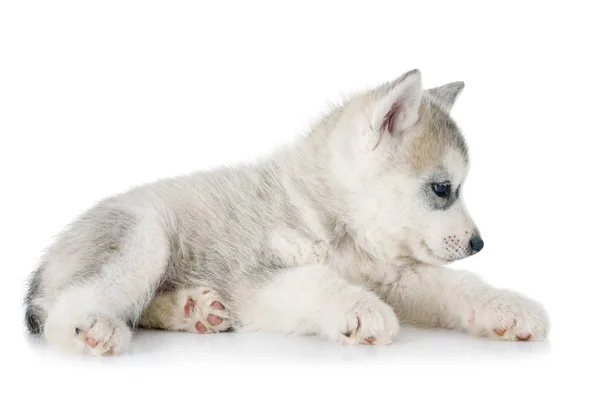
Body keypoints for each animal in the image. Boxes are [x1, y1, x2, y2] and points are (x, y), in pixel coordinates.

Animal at [23, 70, 548, 356]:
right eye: (443, 189)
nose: (479, 243)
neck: (340, 225)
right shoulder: (258, 280)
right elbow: (315, 281)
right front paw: (359, 309)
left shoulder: (397, 277)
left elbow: (458, 285)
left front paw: (507, 308)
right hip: (142, 237)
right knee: (63, 308)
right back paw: (94, 328)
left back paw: (194, 309)